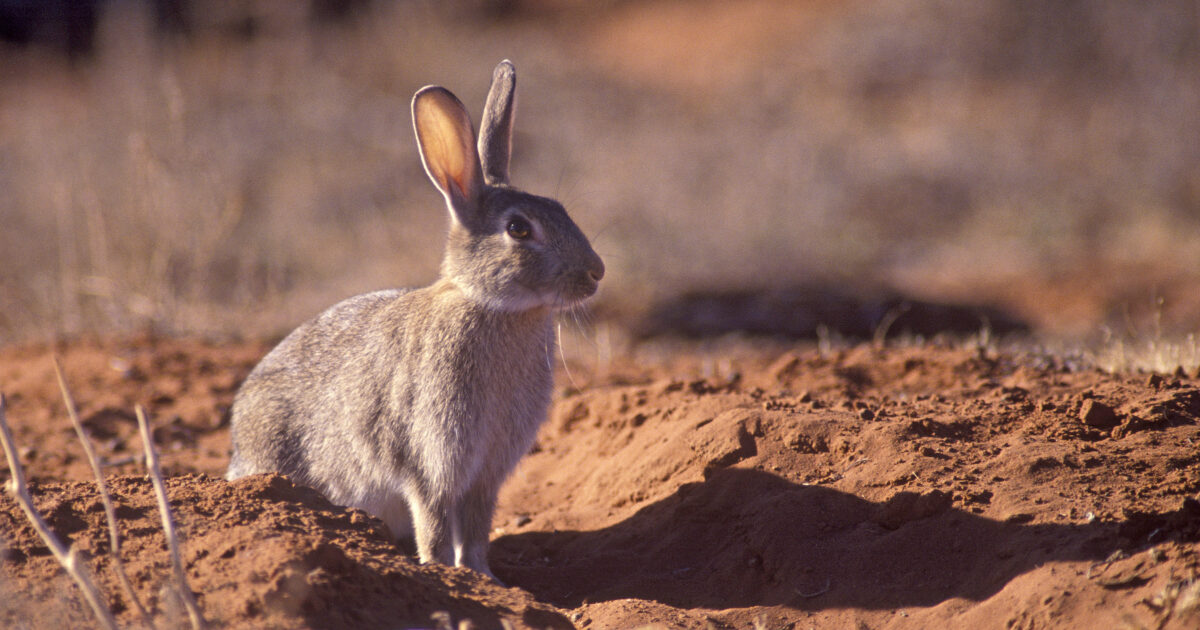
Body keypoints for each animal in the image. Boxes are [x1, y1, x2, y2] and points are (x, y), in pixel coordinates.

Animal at [226, 60, 604, 581]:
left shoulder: (485, 473)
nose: (596, 273)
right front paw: (445, 572)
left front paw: (486, 578)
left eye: (562, 210)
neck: (491, 306)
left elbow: (477, 530)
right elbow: (436, 524)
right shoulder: (430, 460)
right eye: (518, 229)